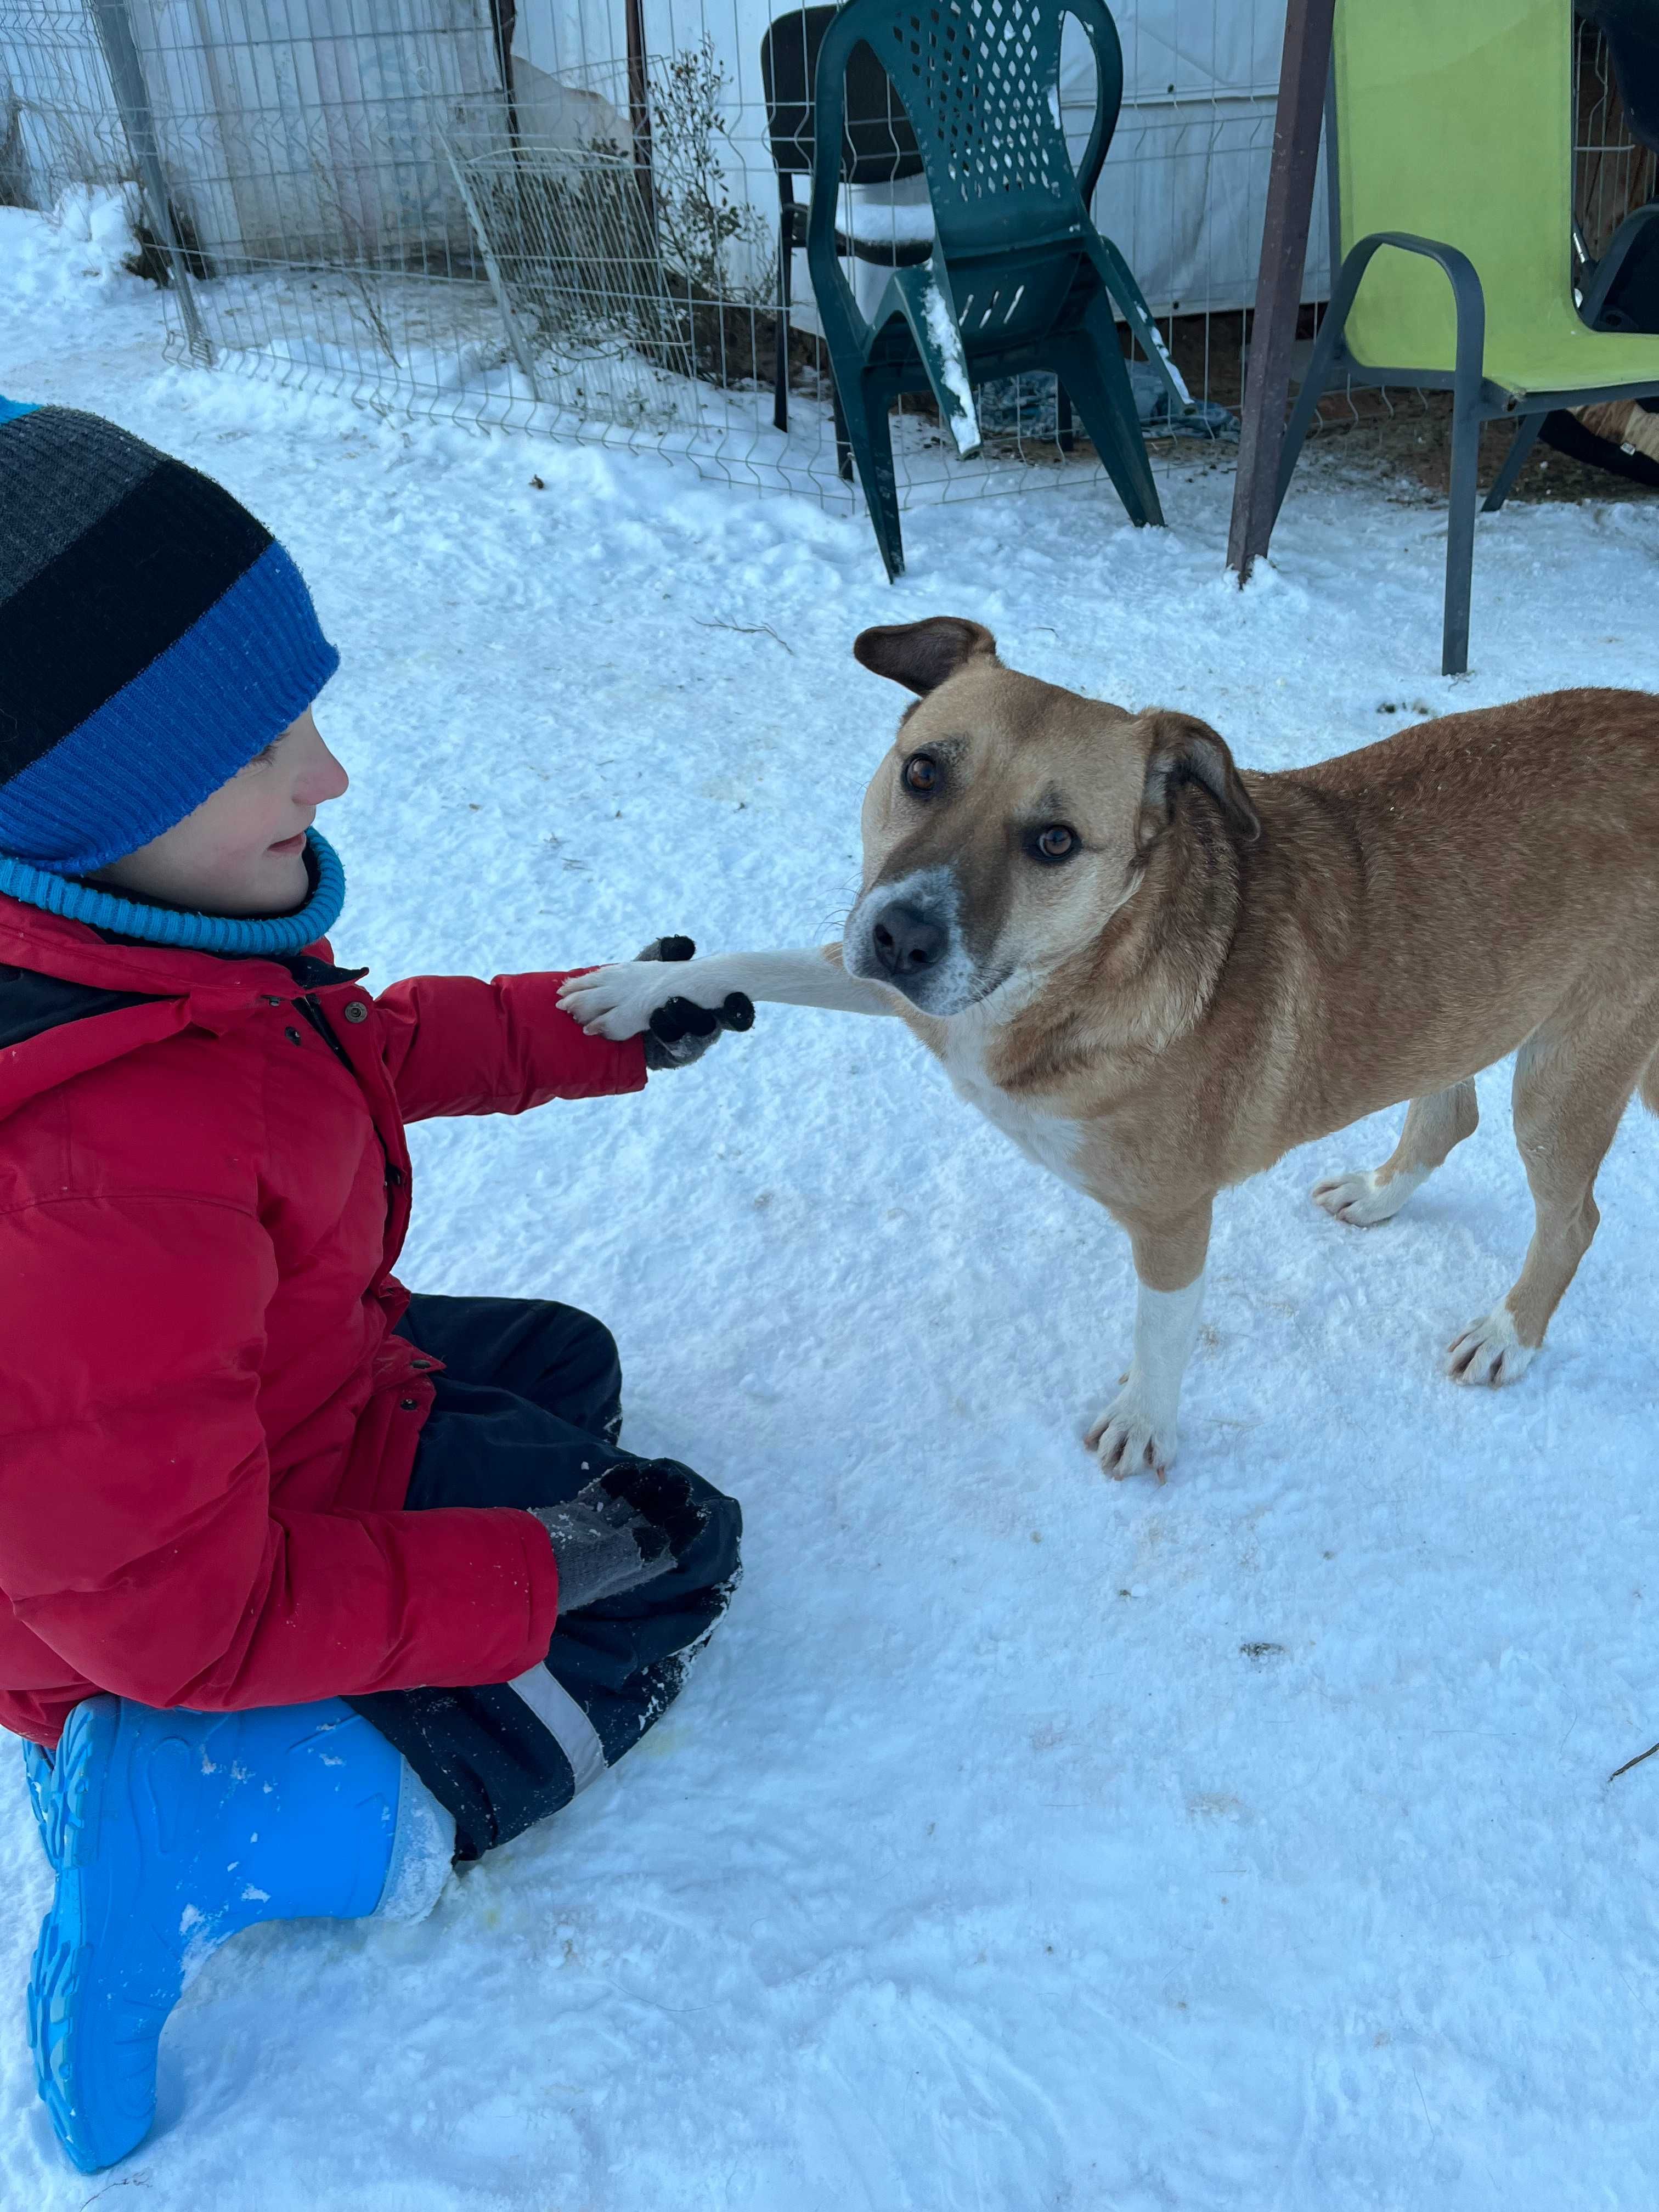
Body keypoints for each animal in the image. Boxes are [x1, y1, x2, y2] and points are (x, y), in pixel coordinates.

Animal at [560, 624, 1659, 1477]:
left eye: (1054, 840)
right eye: (923, 770)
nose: (903, 938)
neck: (1075, 973)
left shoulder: (1172, 1216)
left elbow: (1160, 1328)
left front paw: (1143, 1422)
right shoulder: (911, 990)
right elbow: (765, 960)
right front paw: (640, 990)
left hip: (1566, 1073)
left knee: (1574, 1218)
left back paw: (1508, 1334)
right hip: (1467, 1002)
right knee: (1448, 1110)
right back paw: (1382, 1195)